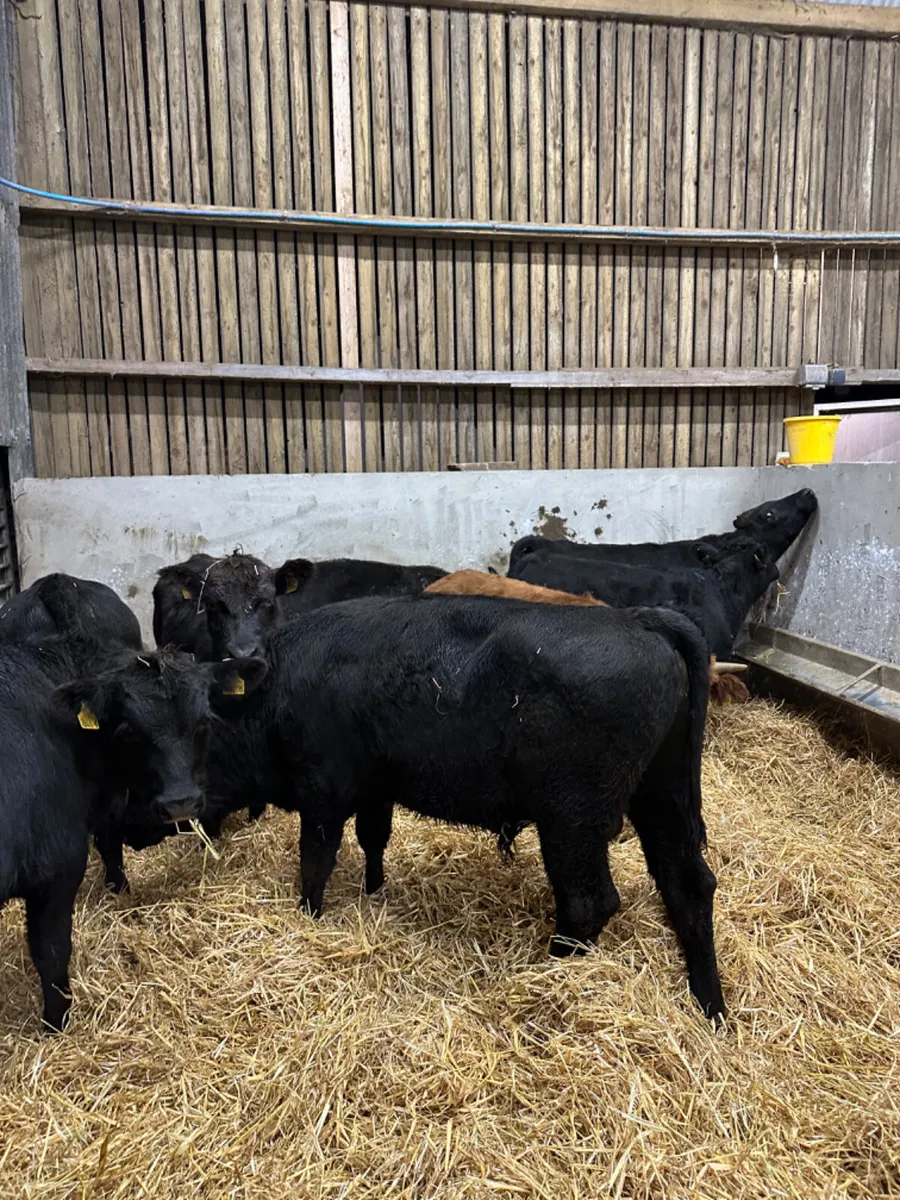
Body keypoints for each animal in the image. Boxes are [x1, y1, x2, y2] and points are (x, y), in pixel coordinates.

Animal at [0, 626, 265, 1030]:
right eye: (129, 731)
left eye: (204, 722)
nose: (180, 802)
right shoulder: (58, 870)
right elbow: (53, 954)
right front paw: (57, 1024)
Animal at [201, 595, 726, 1019]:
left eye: (195, 730)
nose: (186, 806)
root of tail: (640, 619)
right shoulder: (377, 788)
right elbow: (374, 838)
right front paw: (374, 892)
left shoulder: (322, 795)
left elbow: (315, 862)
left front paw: (308, 916)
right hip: (661, 797)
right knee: (689, 885)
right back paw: (711, 1009)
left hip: (572, 821)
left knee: (589, 902)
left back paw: (546, 974)